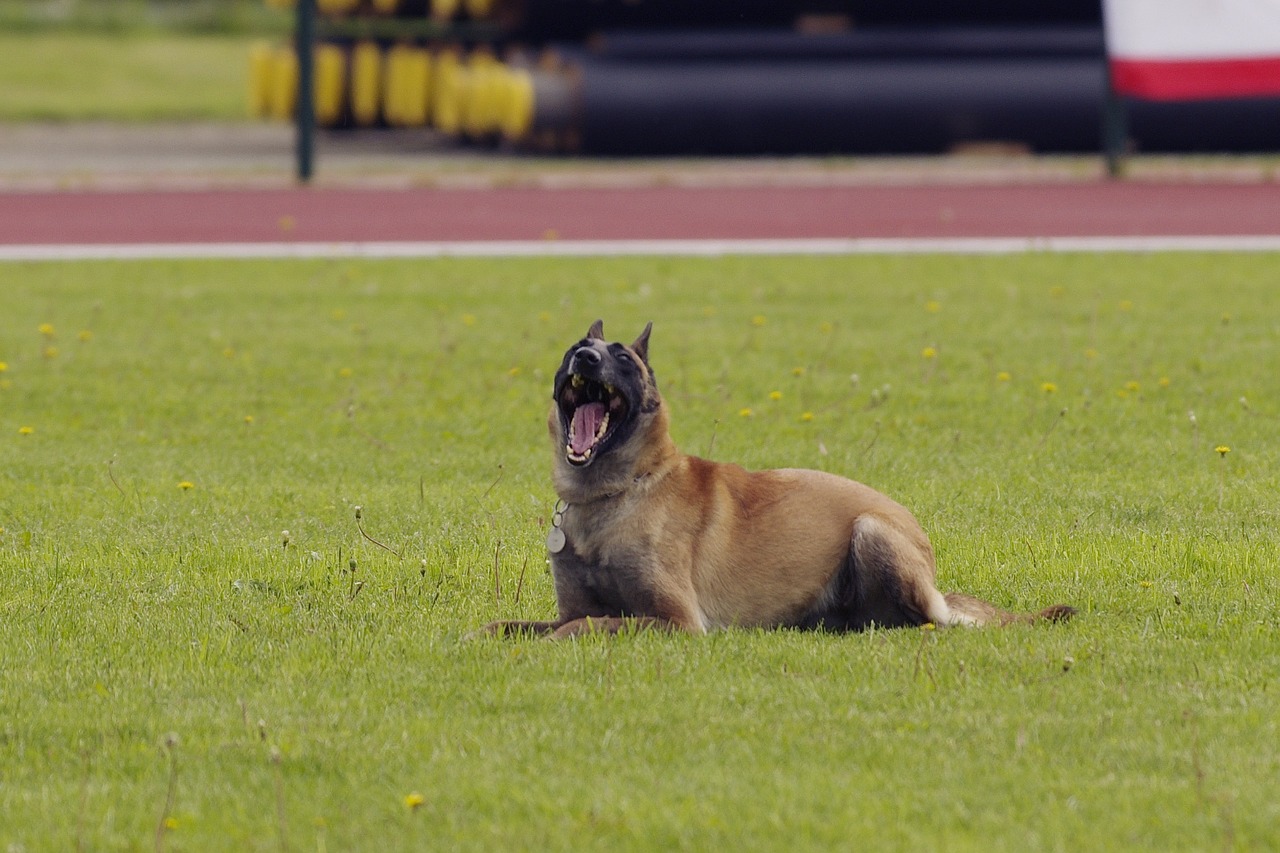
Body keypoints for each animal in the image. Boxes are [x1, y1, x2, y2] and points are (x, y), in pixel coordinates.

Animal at [476, 320, 1075, 637]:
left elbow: (587, 625)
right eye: (574, 349)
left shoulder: (675, 620)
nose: (585, 356)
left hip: (872, 532)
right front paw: (486, 634)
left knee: (930, 621)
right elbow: (518, 624)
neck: (615, 492)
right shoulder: (577, 605)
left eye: (621, 356)